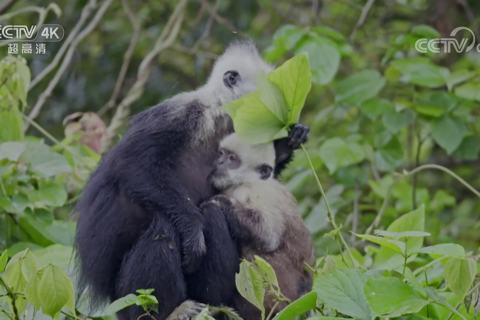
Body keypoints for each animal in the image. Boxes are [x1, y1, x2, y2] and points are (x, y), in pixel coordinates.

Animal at [202, 133, 316, 320]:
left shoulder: (252, 192)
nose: (219, 162)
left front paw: (222, 203)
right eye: (221, 153)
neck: (248, 181)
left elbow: (269, 238)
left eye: (232, 159)